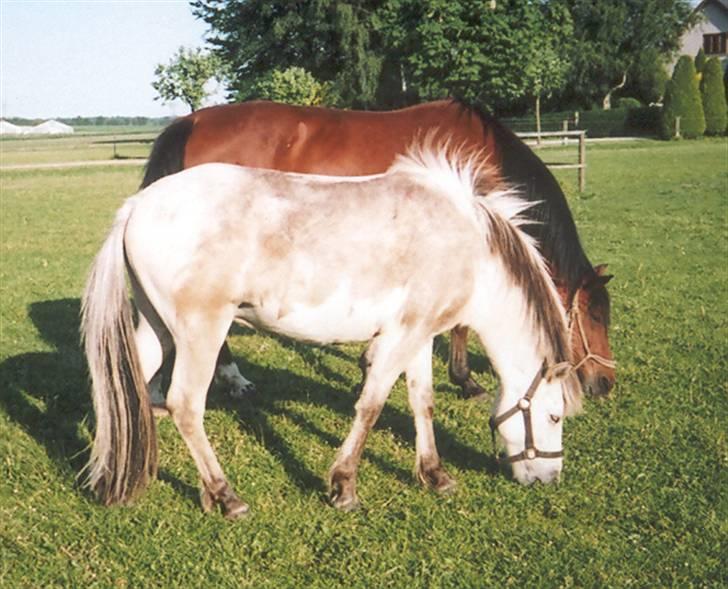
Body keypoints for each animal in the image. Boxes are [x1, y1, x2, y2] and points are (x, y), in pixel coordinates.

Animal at [81, 145, 580, 516]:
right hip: (200, 331)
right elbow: (371, 406)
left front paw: (434, 474)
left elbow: (422, 402)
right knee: (185, 405)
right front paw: (344, 487)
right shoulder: (402, 336)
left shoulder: (419, 335)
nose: (550, 480)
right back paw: (225, 496)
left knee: (129, 387)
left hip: (158, 327)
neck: (468, 244)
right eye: (555, 417)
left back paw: (120, 475)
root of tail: (138, 206)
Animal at [141, 99, 616, 400]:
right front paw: (465, 380)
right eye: (595, 315)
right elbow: (460, 323)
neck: (482, 159)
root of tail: (192, 122)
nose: (605, 383)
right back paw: (230, 380)